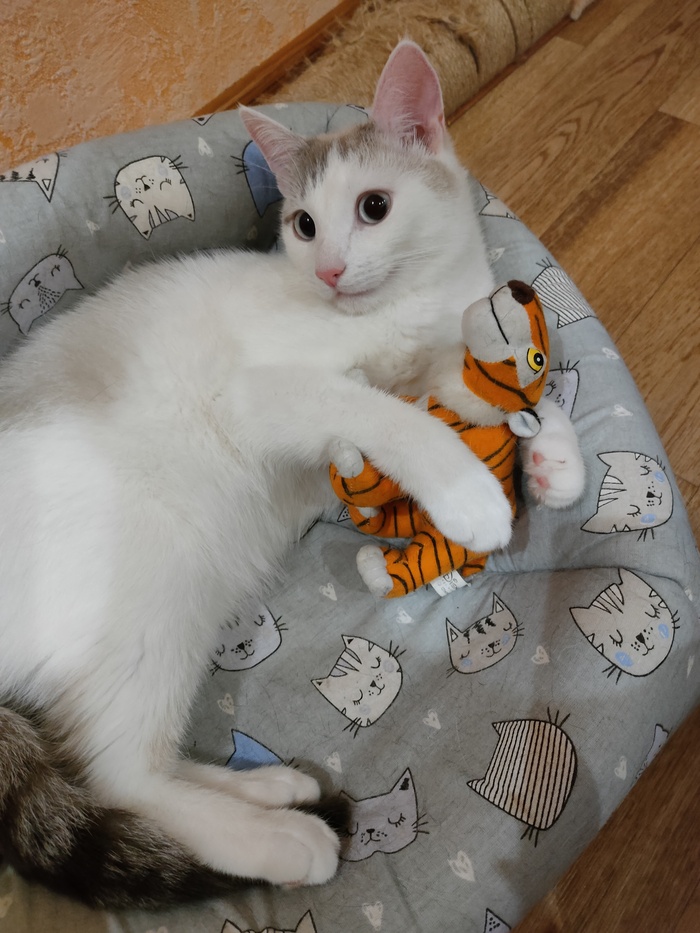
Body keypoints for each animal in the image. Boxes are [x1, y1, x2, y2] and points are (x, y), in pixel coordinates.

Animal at [0, 40, 573, 909]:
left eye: (373, 207)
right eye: (303, 224)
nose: (330, 269)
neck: (398, 314)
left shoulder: (435, 375)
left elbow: (477, 394)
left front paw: (548, 451)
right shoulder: (265, 392)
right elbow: (382, 412)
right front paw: (468, 489)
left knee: (125, 761)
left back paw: (273, 787)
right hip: (147, 588)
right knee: (118, 777)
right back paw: (282, 839)